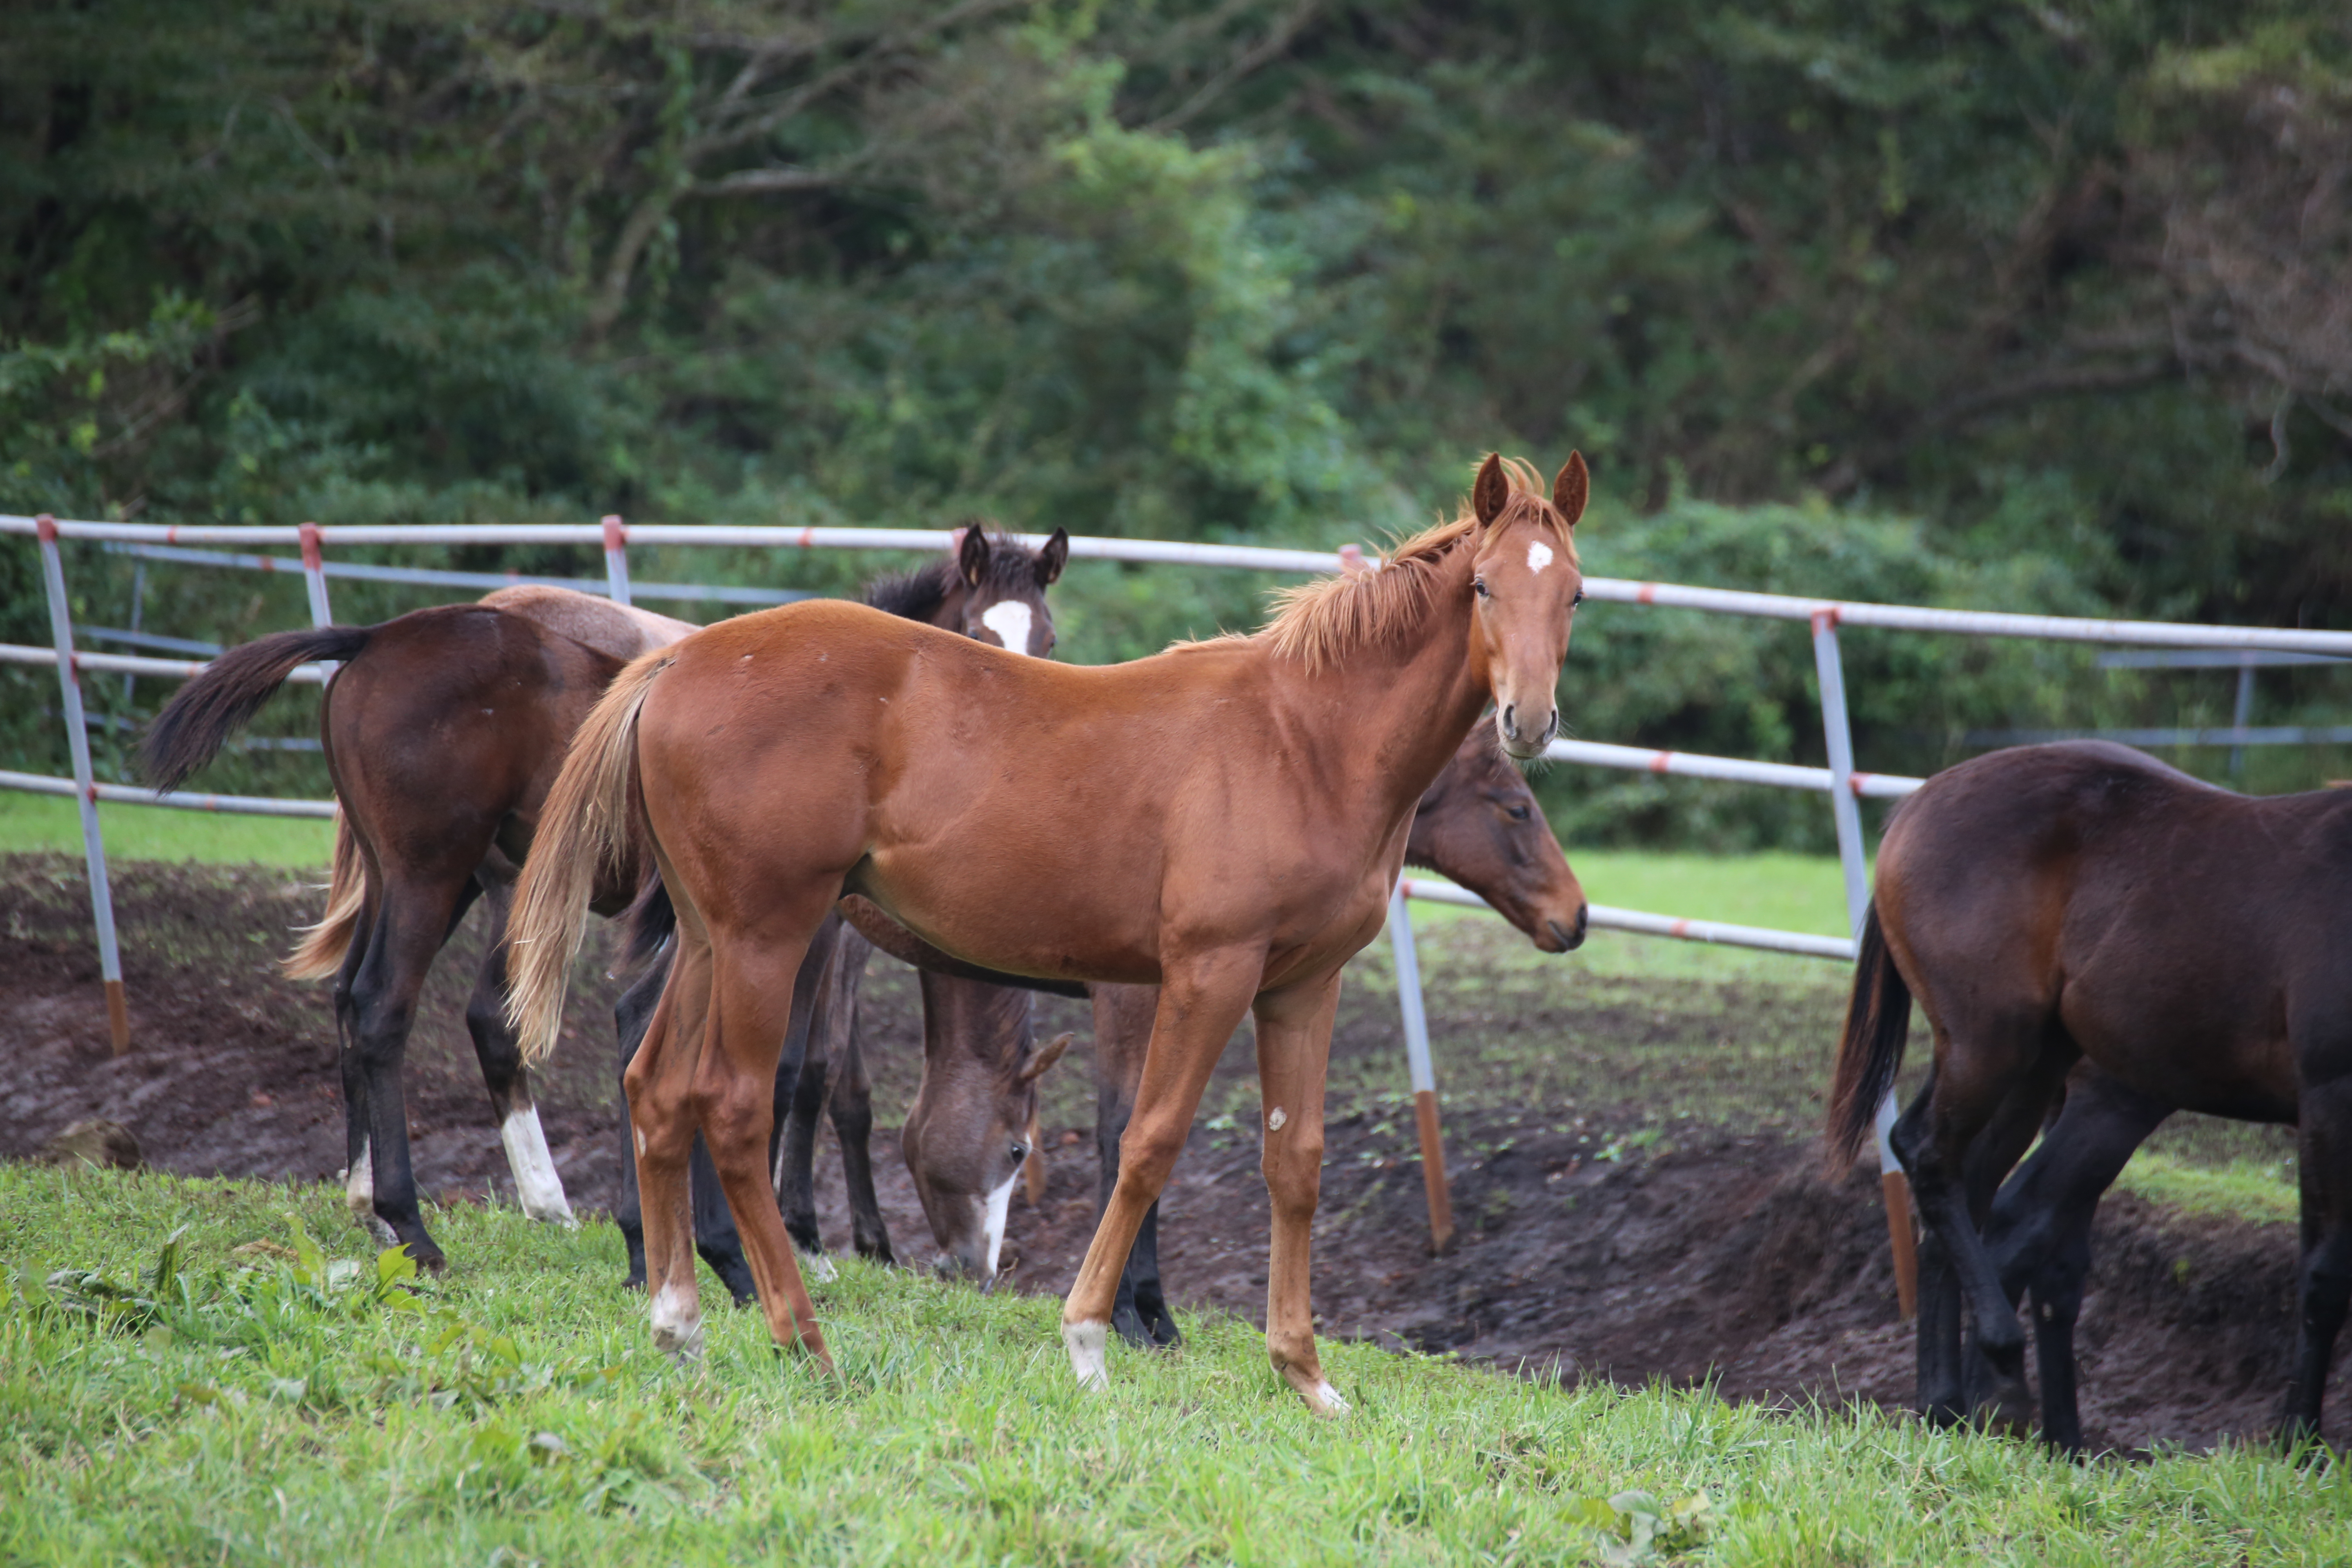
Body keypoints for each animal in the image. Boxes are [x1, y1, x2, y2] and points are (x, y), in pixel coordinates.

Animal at [147, 526, 1068, 1278]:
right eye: (1017, 1147)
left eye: (1051, 637)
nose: (978, 1268)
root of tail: (373, 637)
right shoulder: (819, 934)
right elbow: (807, 1077)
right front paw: (811, 1239)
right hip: (432, 876)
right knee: (386, 1009)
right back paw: (419, 1228)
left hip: (433, 882)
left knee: (356, 999)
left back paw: (383, 1207)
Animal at [506, 451, 1590, 1410]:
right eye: (1484, 586)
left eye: (1574, 595)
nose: (1528, 721)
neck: (1301, 741)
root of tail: (676, 656)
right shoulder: (1202, 973)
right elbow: (1146, 1141)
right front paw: (1093, 1341)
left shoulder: (1298, 984)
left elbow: (1296, 1163)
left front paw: (1305, 1376)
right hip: (769, 939)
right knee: (732, 1105)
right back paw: (801, 1338)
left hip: (708, 939)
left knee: (657, 1090)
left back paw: (679, 1323)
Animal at [1834, 743, 2352, 1457]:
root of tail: (1919, 803)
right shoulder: (2330, 1095)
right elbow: (2326, 1278)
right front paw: (2298, 1442)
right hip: (1994, 1046)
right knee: (1934, 1159)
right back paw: (2000, 1379)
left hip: (2037, 1069)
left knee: (1976, 1201)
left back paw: (1951, 1405)